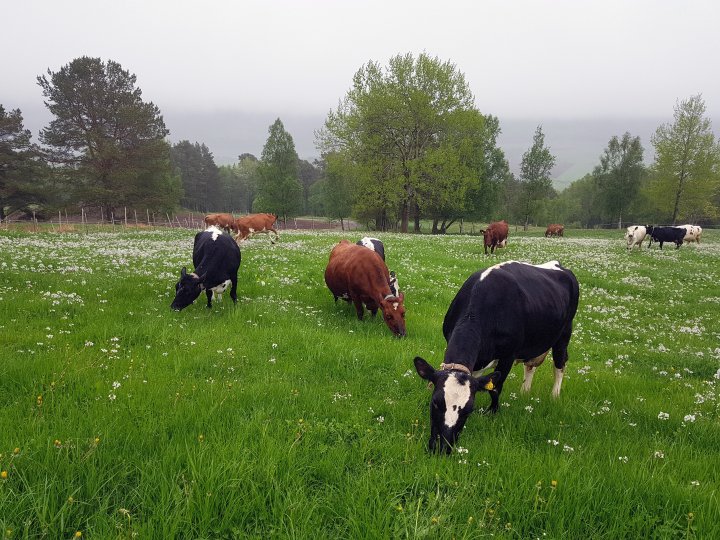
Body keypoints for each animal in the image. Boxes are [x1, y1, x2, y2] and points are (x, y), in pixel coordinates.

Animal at [416, 260, 580, 454]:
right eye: (435, 403)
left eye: (468, 410)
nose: (442, 448)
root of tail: (557, 264)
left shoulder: (508, 355)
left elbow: (495, 387)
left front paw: (492, 412)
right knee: (530, 366)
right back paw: (524, 392)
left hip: (564, 334)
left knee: (559, 365)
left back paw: (554, 396)